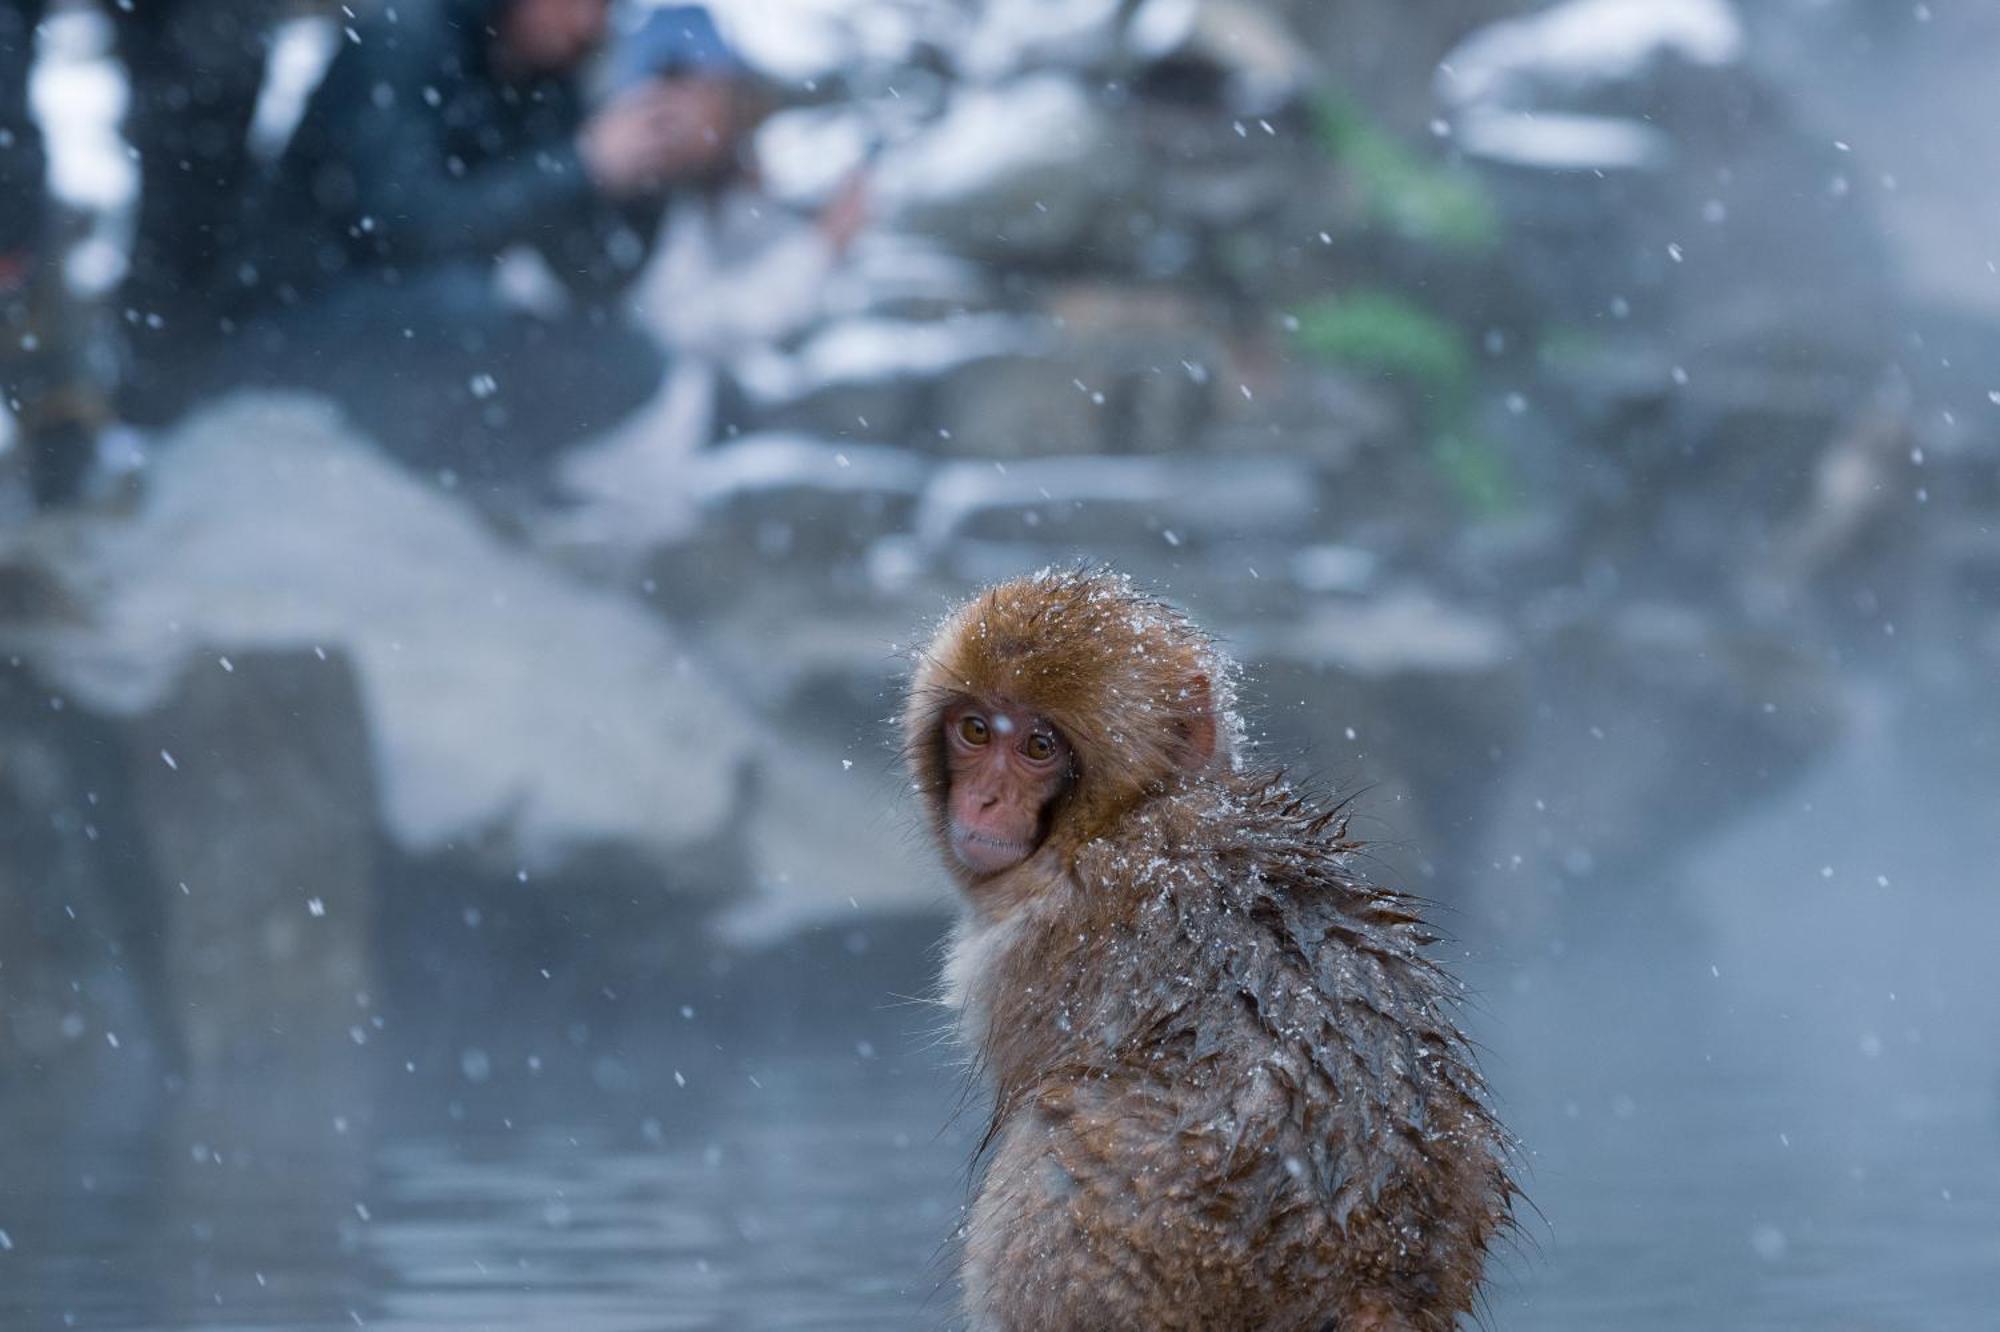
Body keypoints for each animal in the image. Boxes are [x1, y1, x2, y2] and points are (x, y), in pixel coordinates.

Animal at [908, 572, 1512, 1328]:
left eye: (1038, 747)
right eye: (976, 730)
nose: (985, 800)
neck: (1128, 814)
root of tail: (1366, 1278)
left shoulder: (1032, 945)